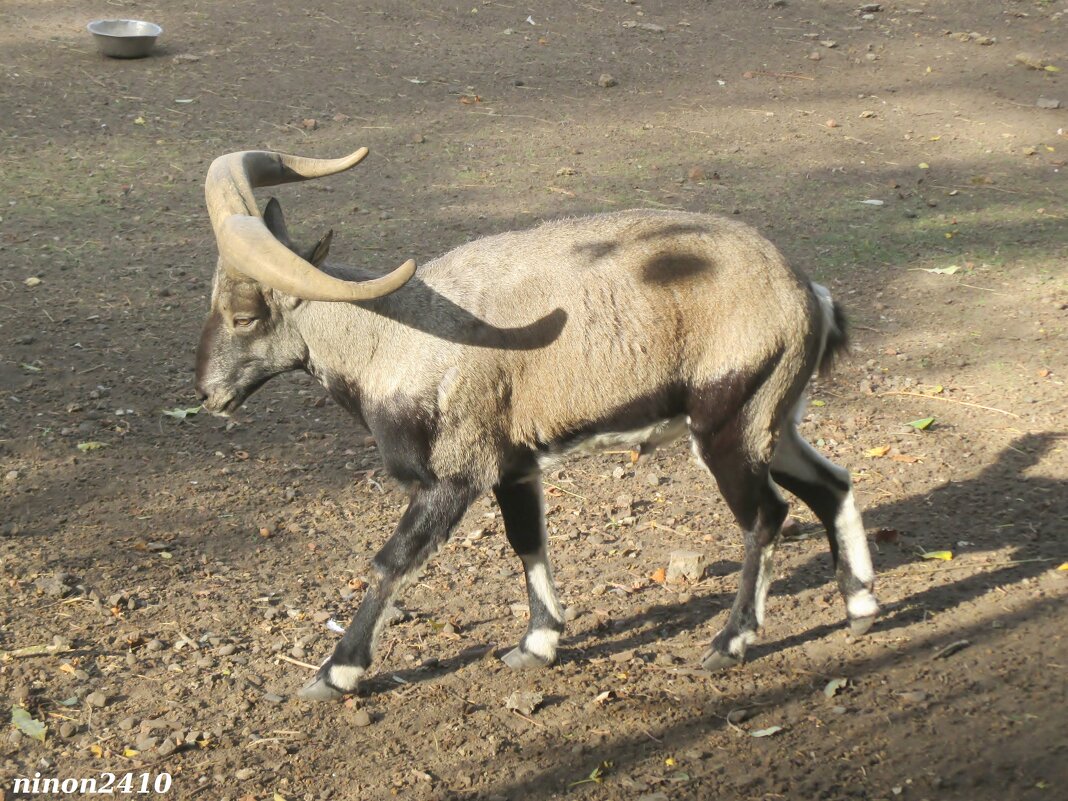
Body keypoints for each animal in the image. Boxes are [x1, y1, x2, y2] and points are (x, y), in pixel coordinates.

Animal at [196, 147, 880, 700]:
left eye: (244, 316)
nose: (208, 393)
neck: (395, 340)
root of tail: (807, 295)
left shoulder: (456, 475)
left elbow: (392, 560)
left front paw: (332, 674)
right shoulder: (514, 467)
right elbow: (526, 541)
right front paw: (537, 644)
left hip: (728, 426)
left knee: (767, 514)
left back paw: (729, 642)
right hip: (774, 422)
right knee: (832, 484)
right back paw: (861, 605)